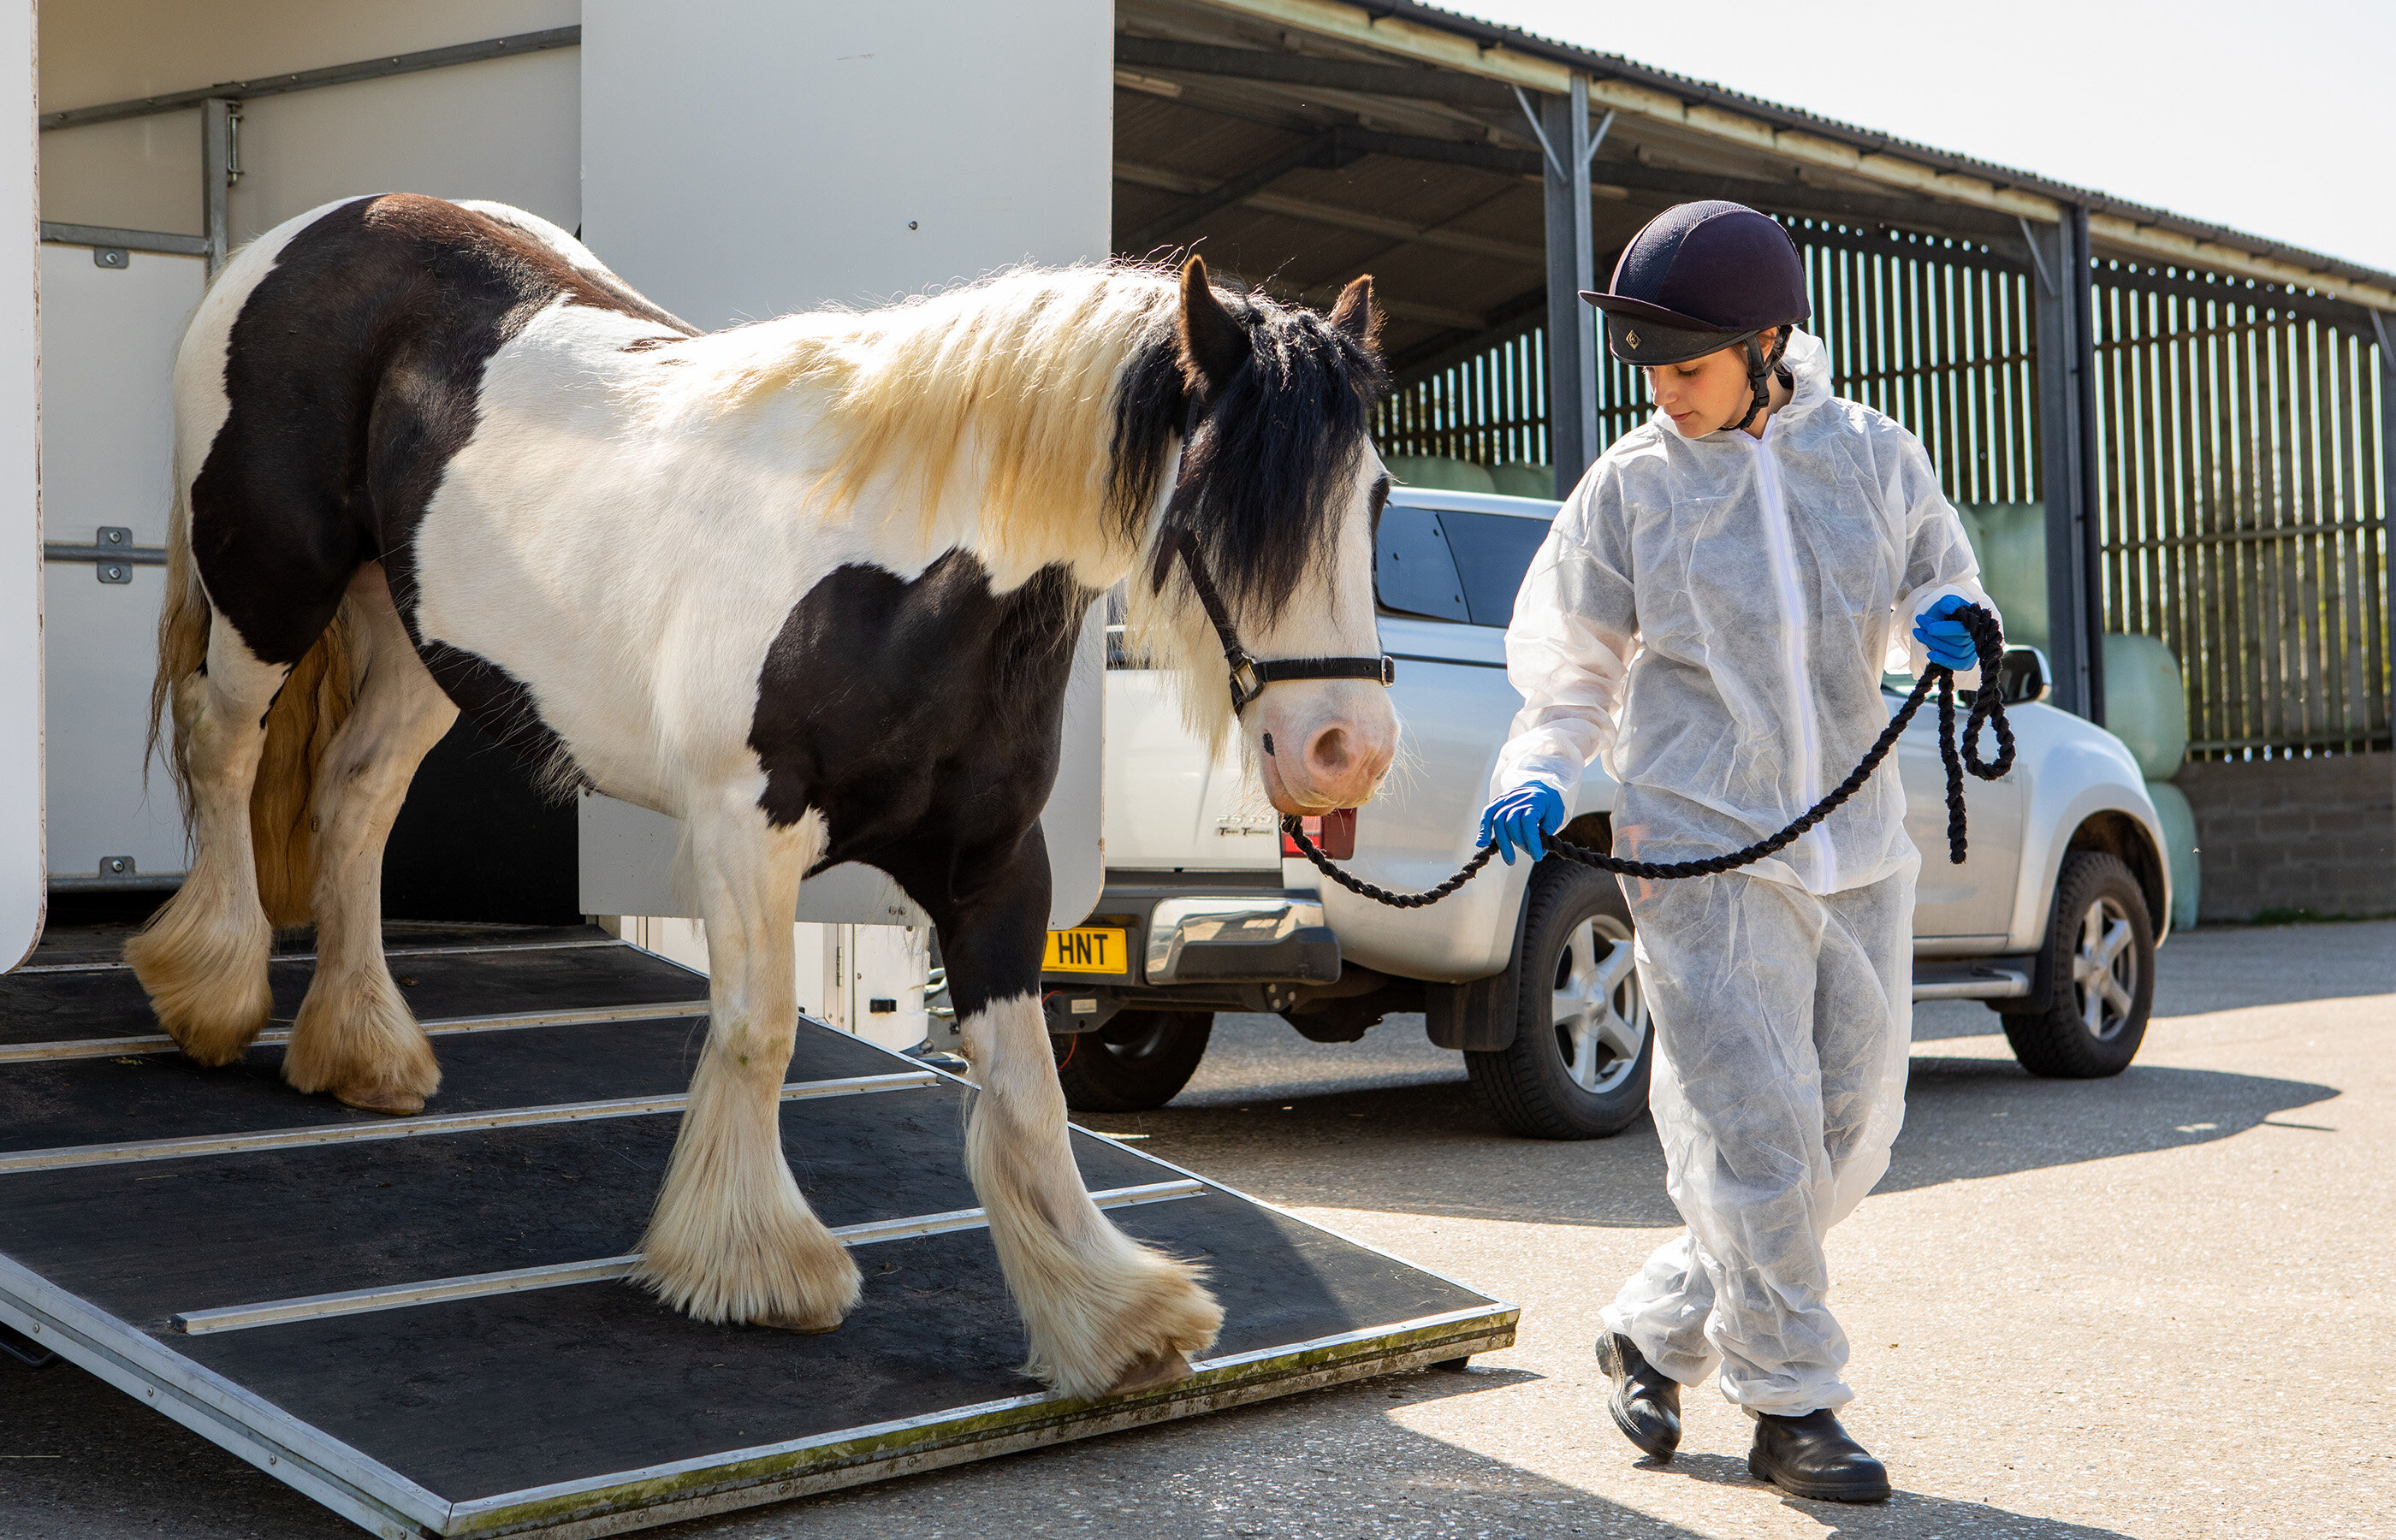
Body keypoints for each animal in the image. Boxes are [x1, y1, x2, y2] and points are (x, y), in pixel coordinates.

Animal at [123, 194, 1398, 1399]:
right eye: (1224, 493)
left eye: (1377, 496)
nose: (1346, 749)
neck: (900, 583)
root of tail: (311, 232)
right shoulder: (748, 830)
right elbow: (760, 1031)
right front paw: (753, 1267)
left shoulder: (994, 864)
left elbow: (1029, 1088)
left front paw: (1110, 1315)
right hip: (268, 588)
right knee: (223, 751)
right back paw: (213, 993)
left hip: (409, 629)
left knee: (354, 799)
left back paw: (363, 1053)